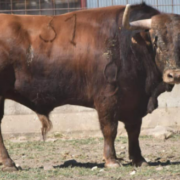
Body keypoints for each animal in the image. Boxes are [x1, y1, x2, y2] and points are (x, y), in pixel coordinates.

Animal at [0, 3, 180, 171]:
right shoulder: (107, 98)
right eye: (156, 39)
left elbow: (134, 130)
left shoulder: (134, 101)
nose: (174, 75)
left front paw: (139, 159)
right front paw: (111, 160)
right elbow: (110, 129)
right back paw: (9, 163)